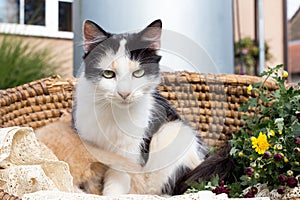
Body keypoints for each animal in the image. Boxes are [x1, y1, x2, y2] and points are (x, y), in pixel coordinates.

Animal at [73, 19, 211, 195]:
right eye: (108, 74)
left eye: (138, 73)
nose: (124, 93)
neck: (114, 114)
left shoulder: (130, 151)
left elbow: (117, 181)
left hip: (173, 132)